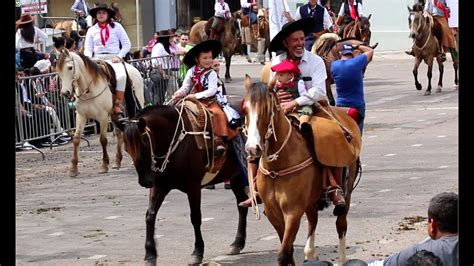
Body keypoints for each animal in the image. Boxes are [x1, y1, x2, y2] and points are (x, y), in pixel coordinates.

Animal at [116, 105, 250, 264]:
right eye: (126, 149)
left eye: (144, 143)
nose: (145, 181)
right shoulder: (159, 186)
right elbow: (150, 215)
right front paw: (150, 254)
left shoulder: (193, 187)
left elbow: (195, 217)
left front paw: (197, 252)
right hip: (236, 176)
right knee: (242, 205)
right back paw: (237, 243)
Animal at [244, 75, 360, 266]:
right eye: (244, 109)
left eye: (267, 109)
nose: (253, 148)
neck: (277, 168)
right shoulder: (273, 213)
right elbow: (289, 250)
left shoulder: (293, 212)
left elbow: (284, 253)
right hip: (310, 201)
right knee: (313, 220)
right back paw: (310, 252)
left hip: (346, 190)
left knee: (341, 223)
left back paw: (342, 258)